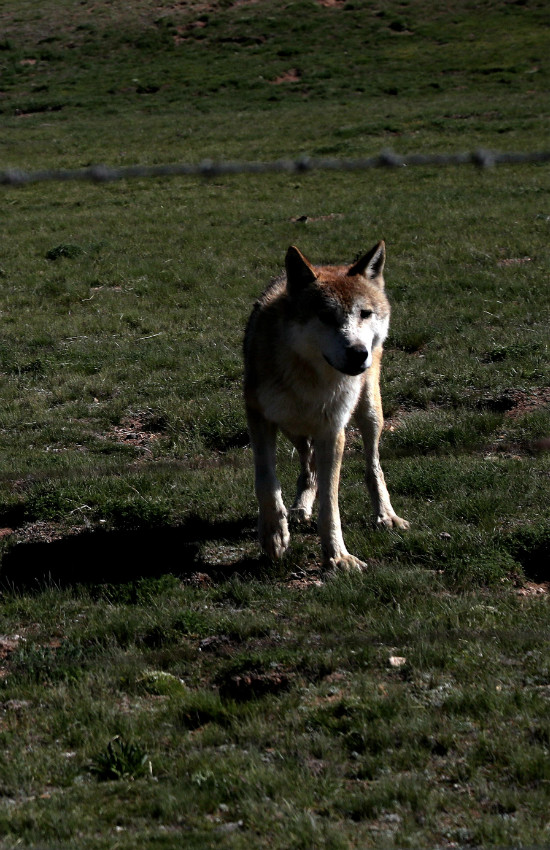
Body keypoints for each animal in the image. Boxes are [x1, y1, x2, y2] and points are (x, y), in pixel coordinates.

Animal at [244, 238, 408, 568]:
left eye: (364, 313)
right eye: (326, 317)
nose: (358, 353)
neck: (312, 378)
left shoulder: (333, 431)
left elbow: (331, 503)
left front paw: (338, 556)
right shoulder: (259, 416)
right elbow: (266, 481)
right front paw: (274, 535)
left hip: (369, 413)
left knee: (373, 466)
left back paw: (386, 515)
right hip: (292, 427)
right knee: (308, 465)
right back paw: (300, 507)